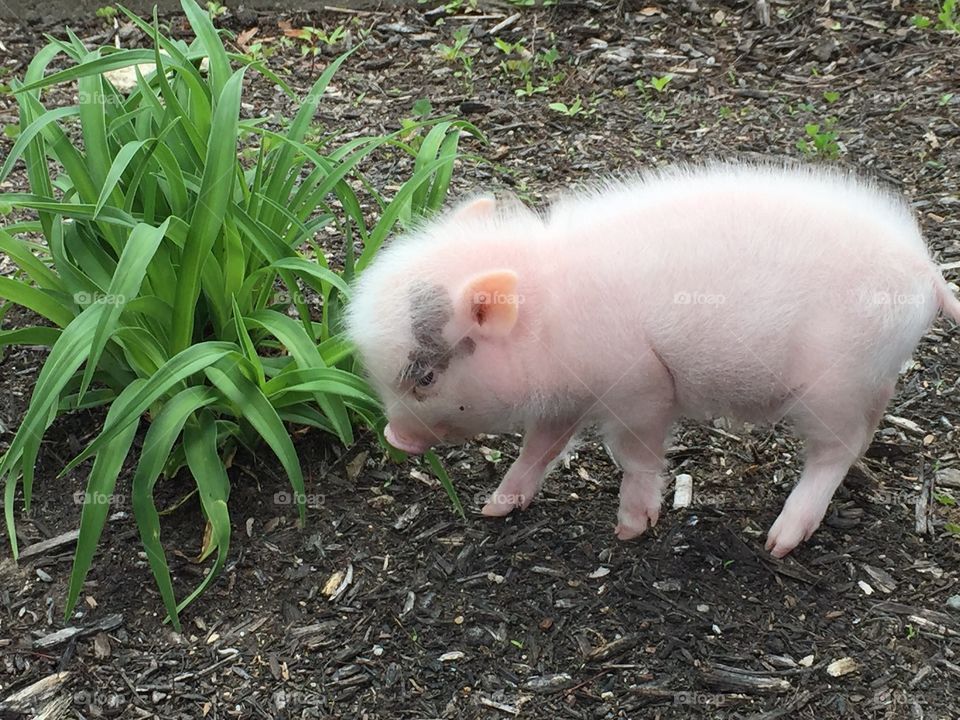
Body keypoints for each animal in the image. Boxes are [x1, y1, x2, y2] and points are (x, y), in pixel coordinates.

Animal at [345, 162, 960, 557]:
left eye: (425, 376)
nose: (394, 436)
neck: (553, 323)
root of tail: (927, 273)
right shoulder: (566, 399)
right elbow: (538, 449)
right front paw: (494, 508)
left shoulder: (640, 387)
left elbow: (634, 455)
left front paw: (629, 531)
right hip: (866, 379)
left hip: (833, 386)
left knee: (836, 451)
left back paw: (777, 543)